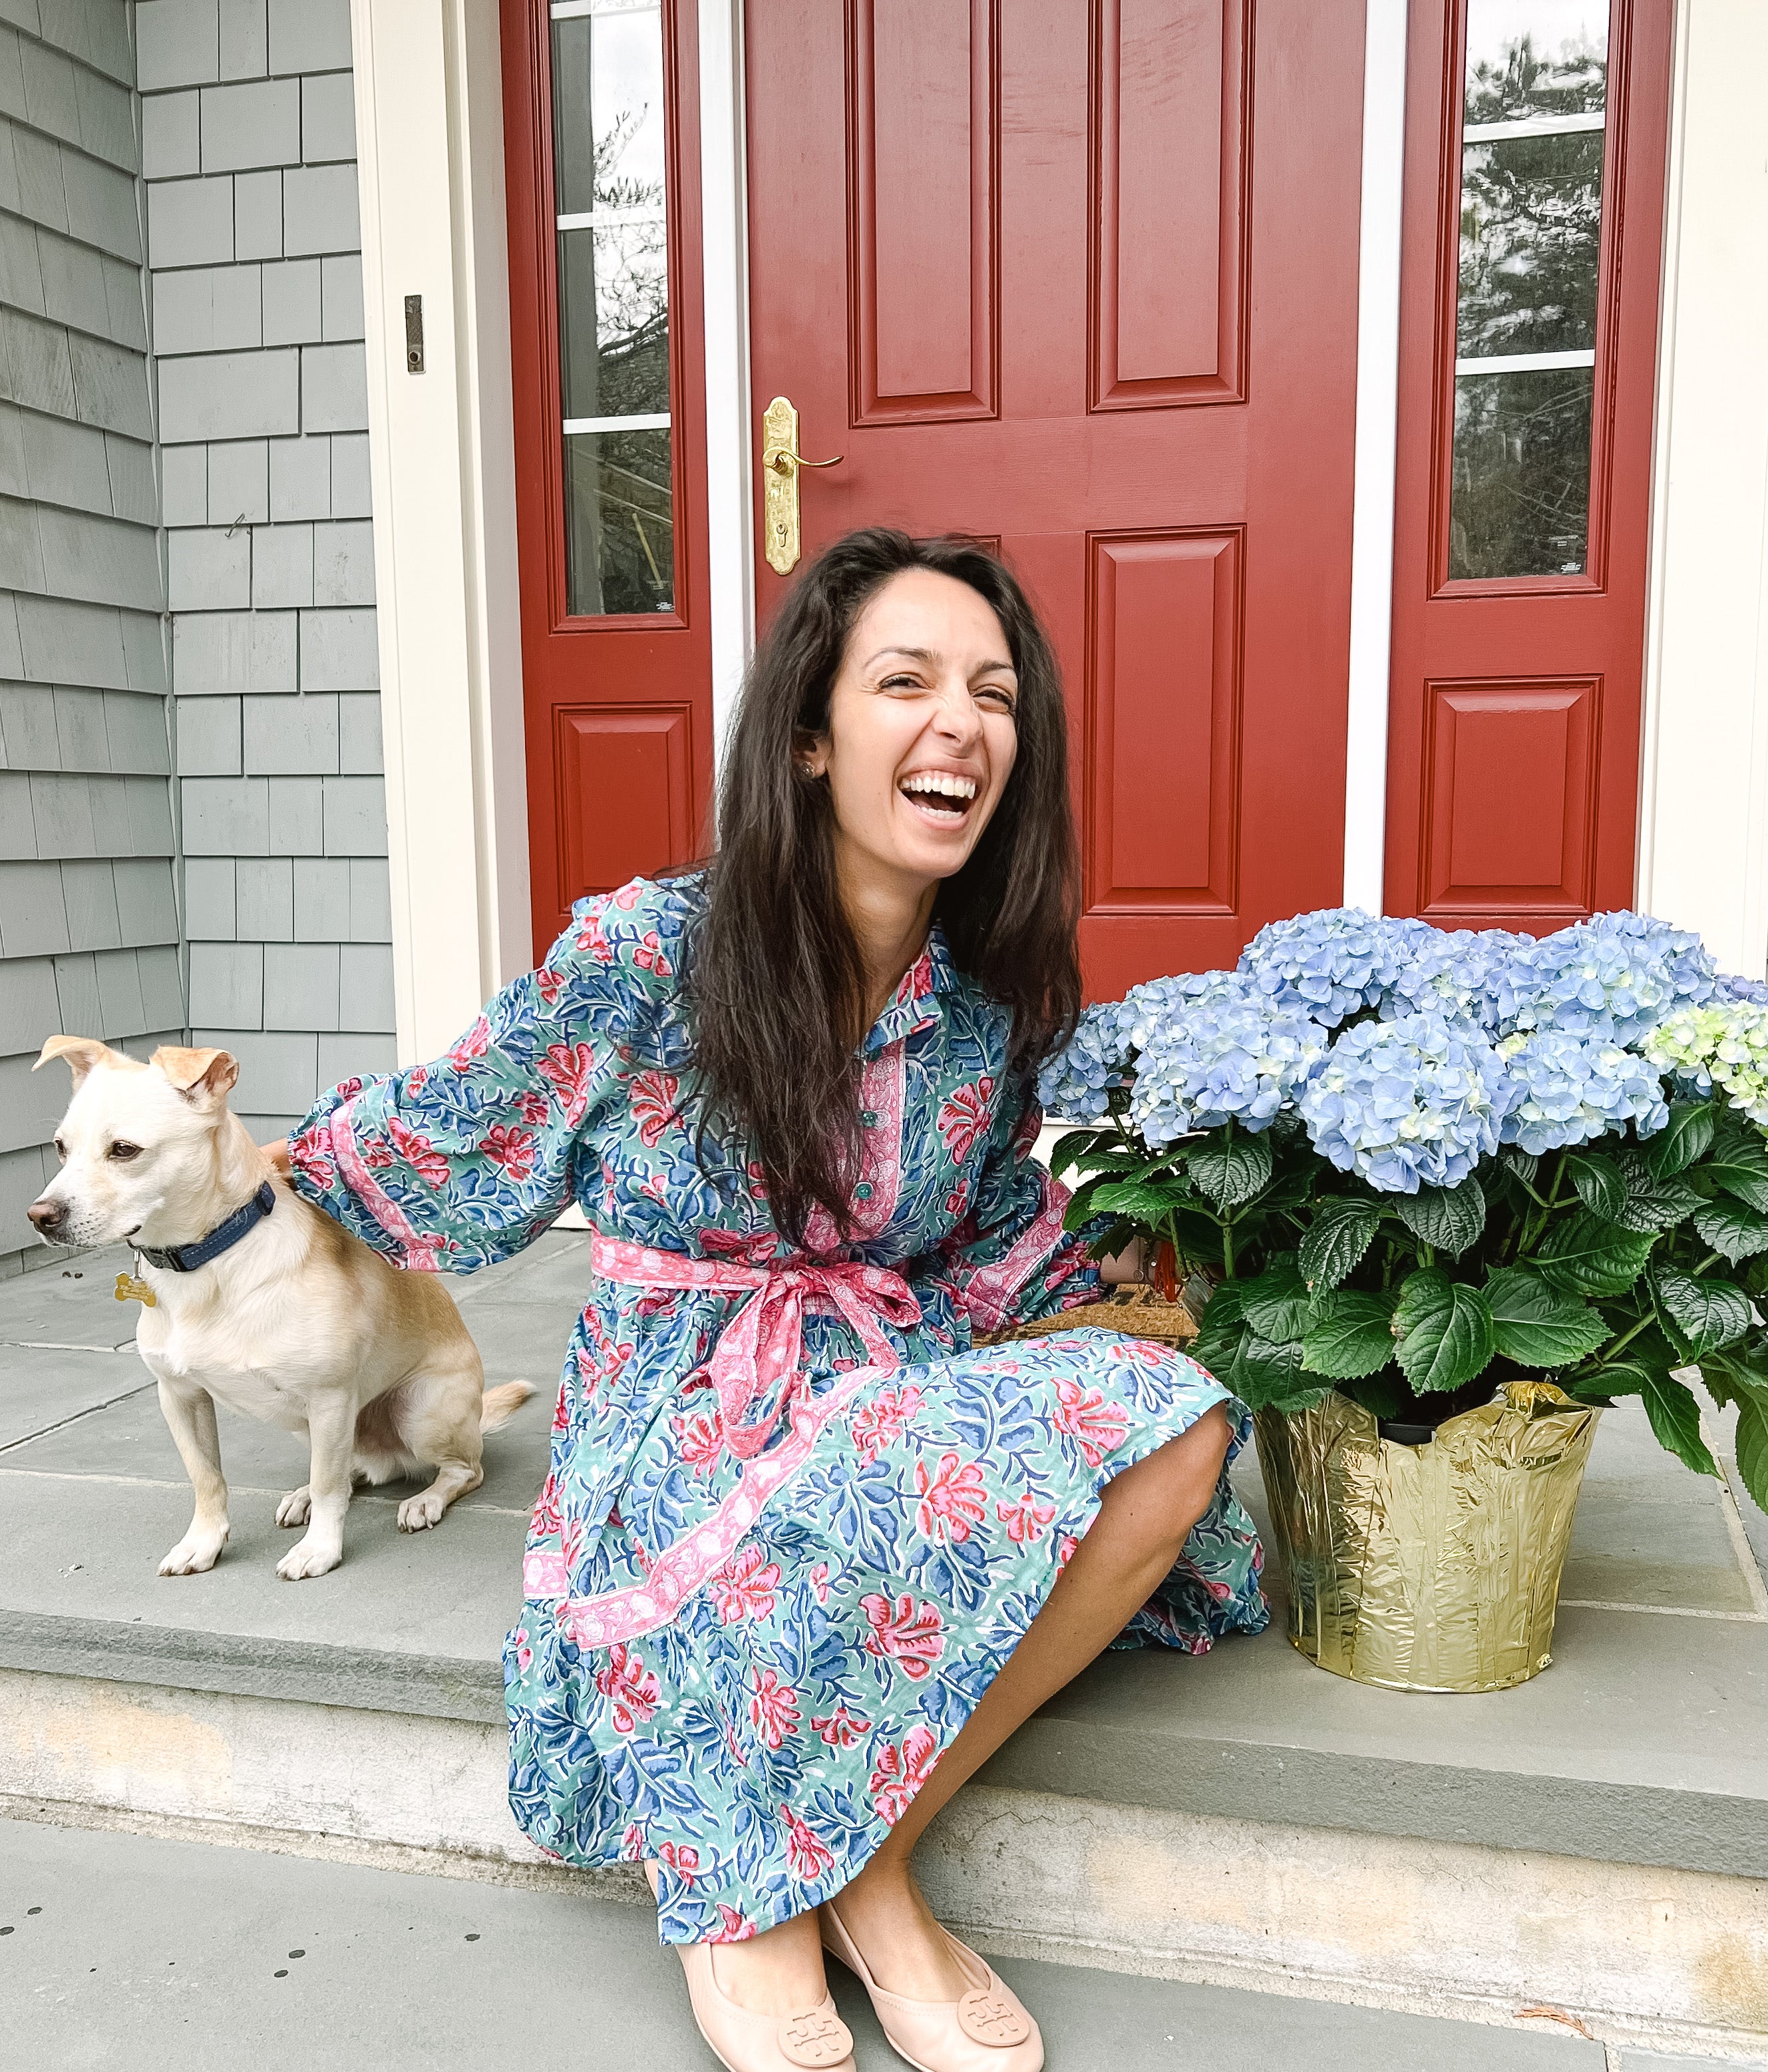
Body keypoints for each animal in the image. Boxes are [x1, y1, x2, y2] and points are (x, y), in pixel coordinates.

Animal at [29, 1036, 534, 1583]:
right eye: (60, 1147)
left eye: (124, 1150)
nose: (39, 1217)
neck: (208, 1263)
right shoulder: (180, 1397)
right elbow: (207, 1478)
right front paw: (203, 1543)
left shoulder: (329, 1400)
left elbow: (330, 1486)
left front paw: (320, 1550)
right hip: (310, 1427)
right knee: (350, 1470)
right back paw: (308, 1494)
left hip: (419, 1411)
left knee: (461, 1469)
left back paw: (426, 1499)